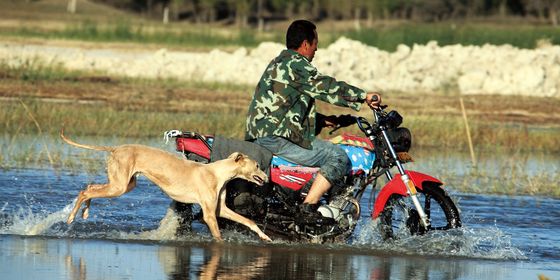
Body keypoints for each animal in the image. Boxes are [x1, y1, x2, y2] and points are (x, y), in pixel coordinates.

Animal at [61, 130, 272, 242]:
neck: (217, 173)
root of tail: (115, 148)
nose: (267, 178)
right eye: (257, 166)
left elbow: (249, 221)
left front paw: (265, 237)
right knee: (85, 191)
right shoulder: (209, 215)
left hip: (124, 184)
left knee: (89, 187)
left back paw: (85, 213)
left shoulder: (221, 209)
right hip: (118, 187)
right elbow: (217, 235)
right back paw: (71, 217)